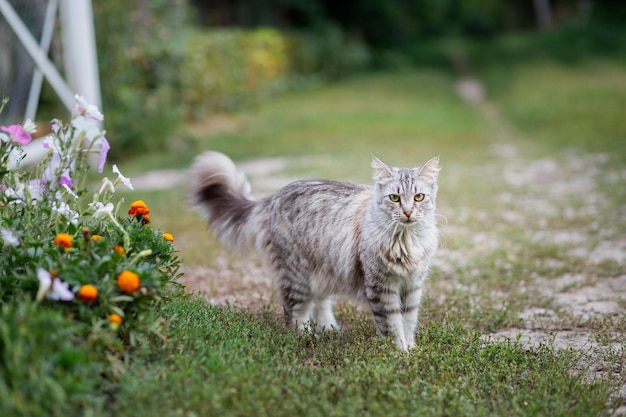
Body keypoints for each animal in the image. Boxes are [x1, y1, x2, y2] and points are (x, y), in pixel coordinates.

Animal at [190, 151, 438, 350]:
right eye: (394, 198)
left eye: (419, 197)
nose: (407, 212)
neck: (405, 241)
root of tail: (273, 197)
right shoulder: (382, 286)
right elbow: (392, 323)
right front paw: (399, 352)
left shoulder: (412, 285)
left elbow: (408, 321)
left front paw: (411, 349)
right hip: (297, 275)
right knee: (295, 312)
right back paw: (306, 336)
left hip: (323, 269)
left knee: (320, 302)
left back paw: (329, 329)